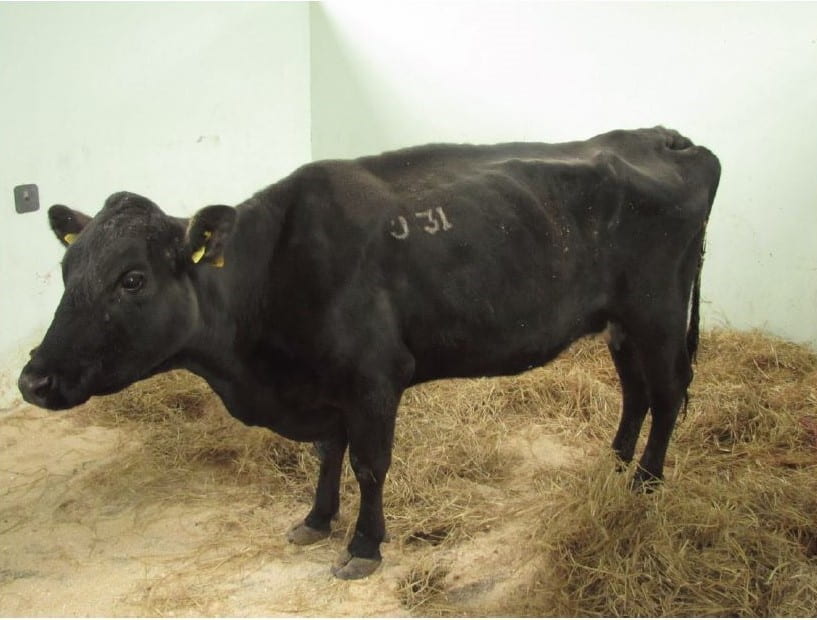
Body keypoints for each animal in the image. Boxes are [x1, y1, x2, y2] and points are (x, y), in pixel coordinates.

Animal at [18, 126, 721, 579]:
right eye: (66, 269)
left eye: (132, 279)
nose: (33, 380)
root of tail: (669, 137)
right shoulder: (324, 385)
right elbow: (328, 455)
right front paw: (316, 518)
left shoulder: (375, 377)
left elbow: (369, 465)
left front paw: (363, 546)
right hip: (618, 322)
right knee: (636, 391)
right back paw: (614, 464)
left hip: (657, 313)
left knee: (668, 393)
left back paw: (647, 481)